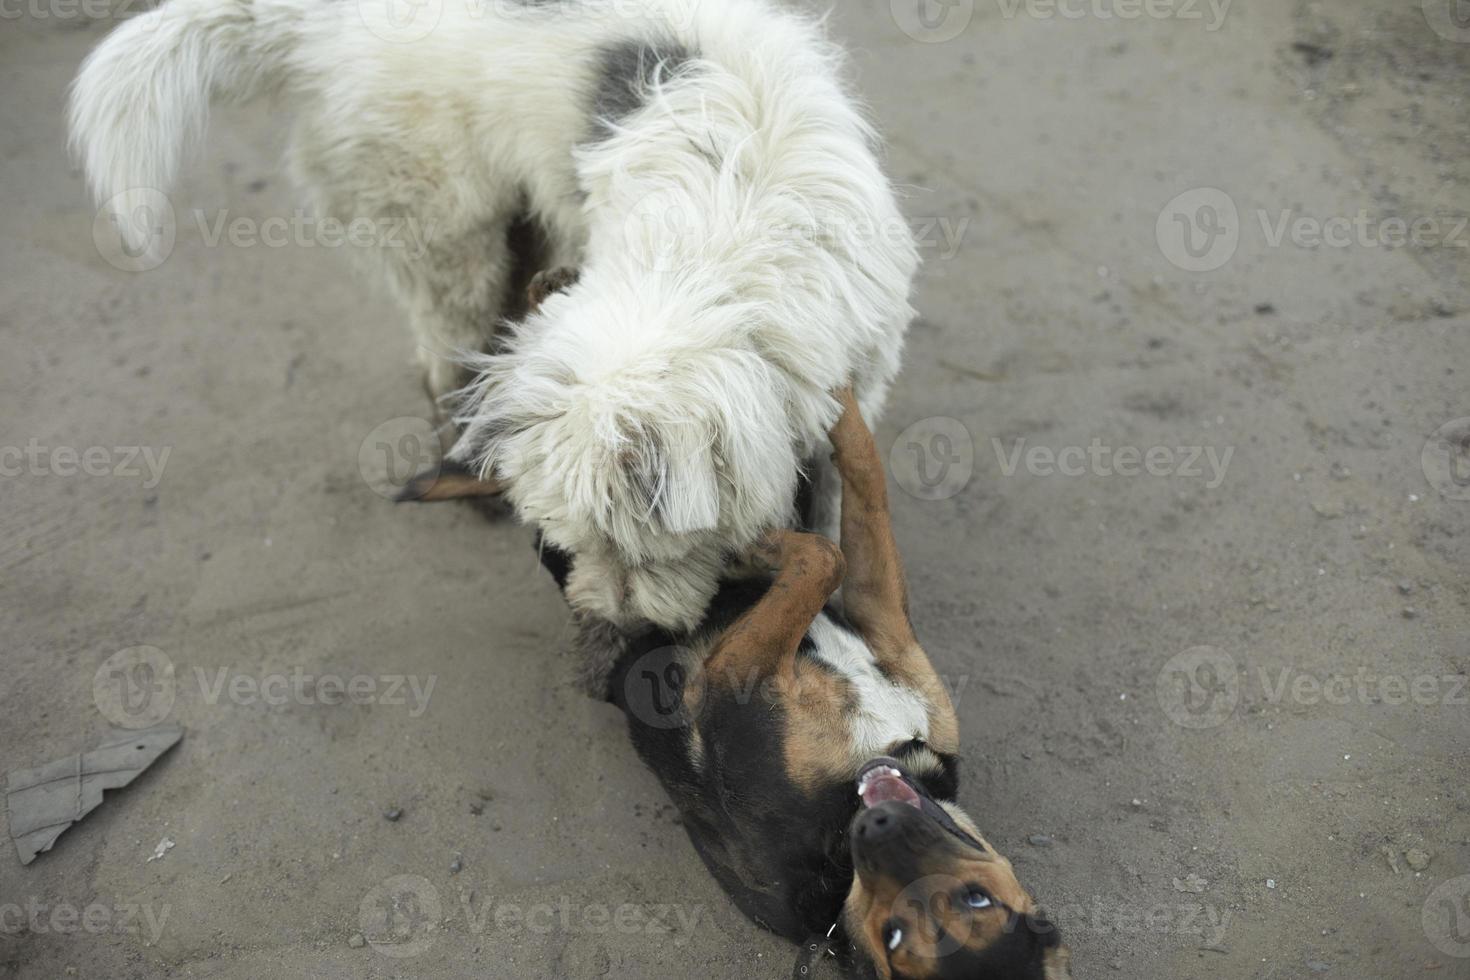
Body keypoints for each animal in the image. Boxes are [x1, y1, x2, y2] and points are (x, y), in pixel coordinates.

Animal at [74, 0, 917, 628]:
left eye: (648, 548)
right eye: (576, 542)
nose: (618, 624)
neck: (720, 230)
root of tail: (320, 24)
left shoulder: (852, 379)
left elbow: (832, 488)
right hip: (445, 231)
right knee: (444, 353)